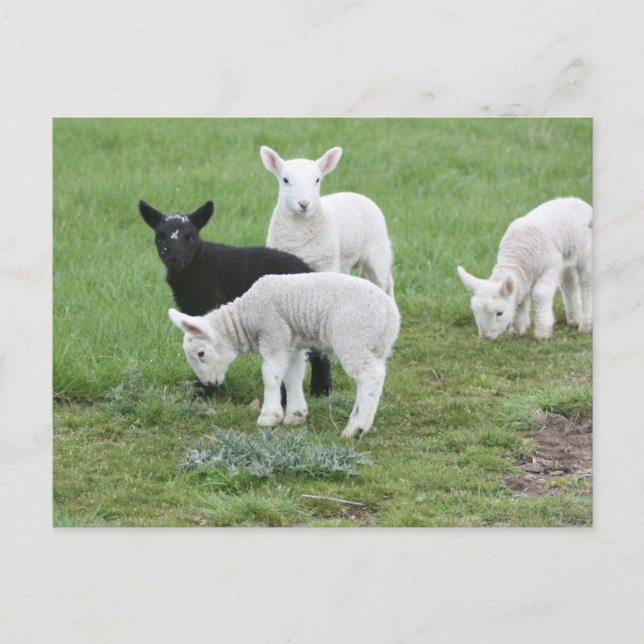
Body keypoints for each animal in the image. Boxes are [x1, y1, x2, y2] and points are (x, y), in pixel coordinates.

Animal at [139, 199, 332, 397]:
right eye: (160, 237)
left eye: (190, 237)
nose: (174, 260)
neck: (197, 263)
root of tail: (309, 270)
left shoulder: (208, 302)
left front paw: (205, 390)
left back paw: (321, 389)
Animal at [168, 272, 400, 438]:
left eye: (201, 353)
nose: (208, 384)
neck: (247, 316)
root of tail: (391, 313)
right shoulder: (293, 345)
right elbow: (292, 376)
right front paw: (295, 416)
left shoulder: (274, 334)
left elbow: (270, 375)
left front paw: (269, 417)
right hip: (375, 346)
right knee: (378, 376)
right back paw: (365, 424)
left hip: (353, 338)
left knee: (369, 376)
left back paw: (355, 427)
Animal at [260, 145, 395, 297]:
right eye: (285, 180)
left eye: (317, 180)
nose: (304, 203)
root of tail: (357, 194)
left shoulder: (326, 264)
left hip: (379, 253)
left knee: (386, 284)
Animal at [457, 197, 593, 340]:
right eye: (474, 311)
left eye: (500, 313)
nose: (485, 337)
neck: (517, 256)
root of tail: (578, 200)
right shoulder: (526, 275)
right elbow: (520, 299)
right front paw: (517, 328)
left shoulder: (551, 265)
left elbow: (540, 293)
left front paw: (543, 331)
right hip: (568, 257)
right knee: (569, 284)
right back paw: (574, 319)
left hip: (587, 253)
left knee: (587, 283)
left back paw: (586, 325)